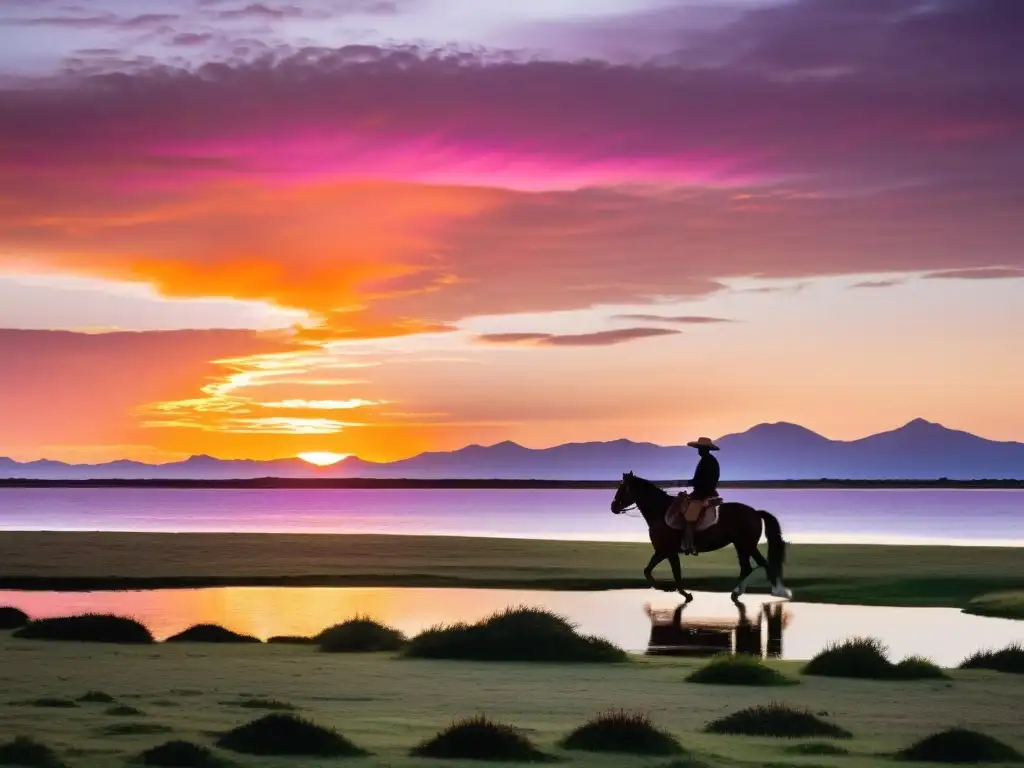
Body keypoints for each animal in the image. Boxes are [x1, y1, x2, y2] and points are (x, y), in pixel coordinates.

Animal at [606, 473, 790, 606]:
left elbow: (674, 574)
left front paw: (679, 592)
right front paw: (669, 589)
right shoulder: (662, 551)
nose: (613, 507)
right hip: (743, 546)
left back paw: (766, 592)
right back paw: (742, 592)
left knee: (755, 566)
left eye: (623, 487)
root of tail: (755, 512)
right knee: (752, 566)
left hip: (745, 545)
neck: (660, 512)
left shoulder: (668, 552)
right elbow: (648, 571)